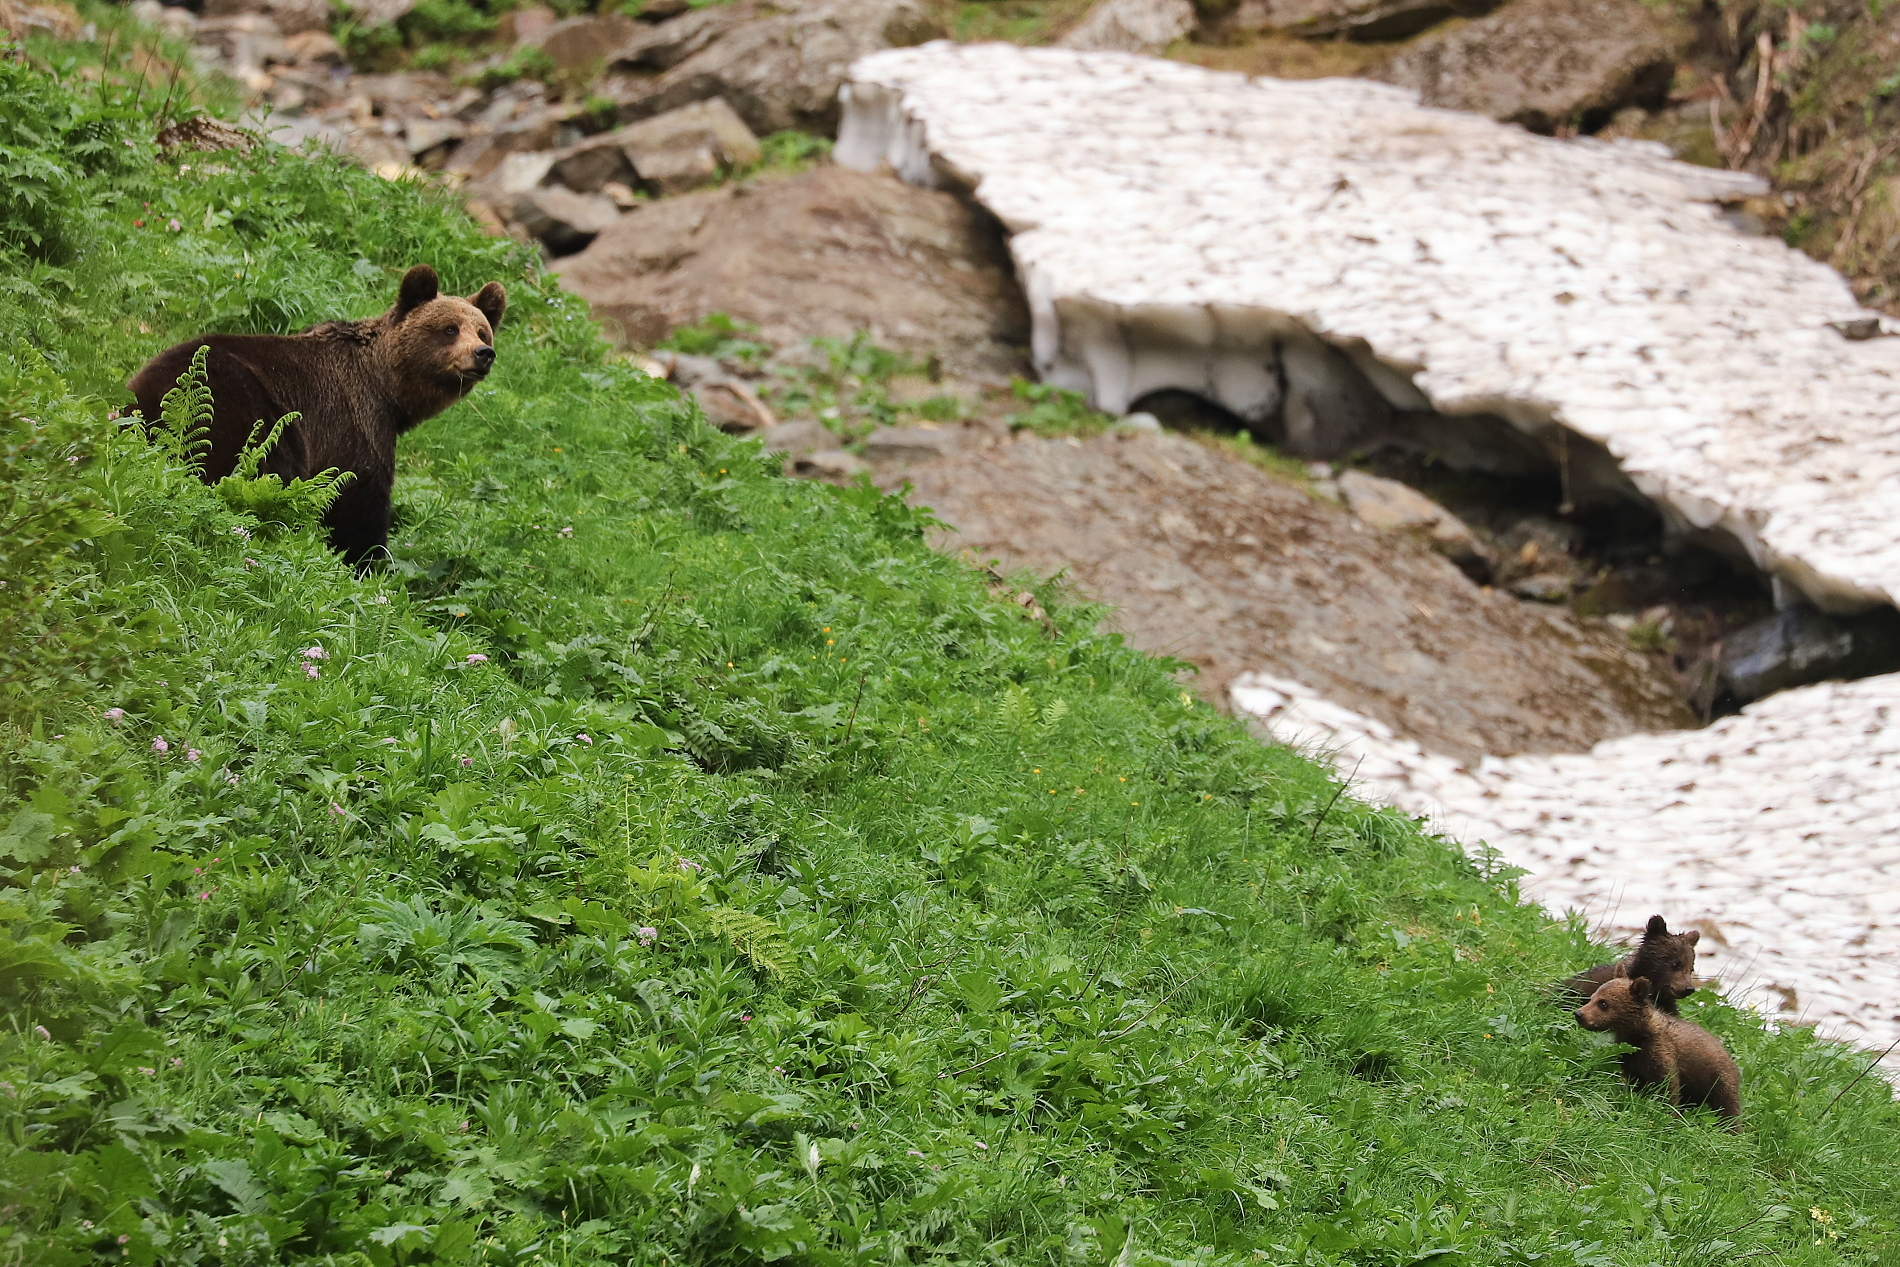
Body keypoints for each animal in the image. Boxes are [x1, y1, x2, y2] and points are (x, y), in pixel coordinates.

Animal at [129, 265, 509, 566]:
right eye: (449, 329)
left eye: (482, 331)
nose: (483, 353)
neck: (389, 391)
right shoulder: (355, 425)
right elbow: (356, 501)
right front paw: (368, 561)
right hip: (245, 414)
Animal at [1573, 980, 1740, 1124]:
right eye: (1592, 997)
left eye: (1603, 1003)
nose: (1579, 1014)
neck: (1639, 1034)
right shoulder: (1631, 1059)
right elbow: (1636, 1084)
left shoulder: (1661, 1053)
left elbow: (1668, 1086)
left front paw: (1669, 1116)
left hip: (1718, 1079)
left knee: (1728, 1106)